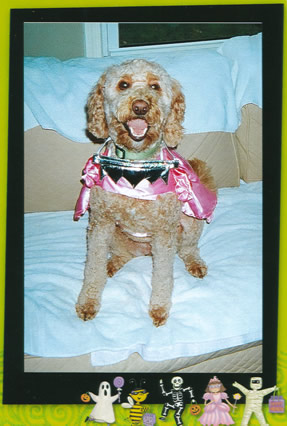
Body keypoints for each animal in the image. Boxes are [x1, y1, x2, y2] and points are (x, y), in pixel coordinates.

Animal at [73, 59, 216, 326]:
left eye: (155, 86)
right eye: (123, 84)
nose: (140, 107)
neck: (135, 165)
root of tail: (143, 251)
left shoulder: (164, 233)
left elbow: (163, 276)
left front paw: (159, 308)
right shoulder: (100, 224)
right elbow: (93, 267)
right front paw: (88, 302)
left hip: (190, 224)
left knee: (188, 249)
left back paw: (195, 263)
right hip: (115, 235)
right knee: (121, 254)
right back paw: (112, 264)